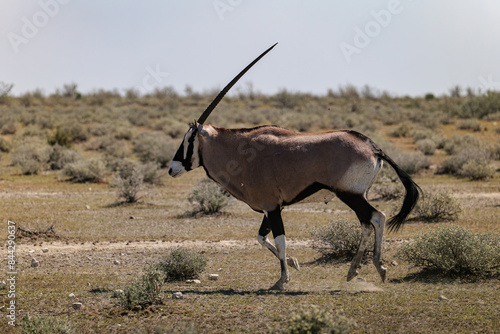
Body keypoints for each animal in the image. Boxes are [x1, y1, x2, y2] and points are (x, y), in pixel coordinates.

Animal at [169, 44, 422, 290]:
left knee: (377, 217)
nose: (172, 168)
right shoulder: (271, 208)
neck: (240, 151)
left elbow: (280, 240)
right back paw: (353, 271)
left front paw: (282, 280)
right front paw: (293, 263)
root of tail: (372, 147)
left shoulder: (271, 207)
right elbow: (261, 238)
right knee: (366, 224)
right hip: (358, 195)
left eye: (189, 139)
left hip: (349, 193)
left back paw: (379, 267)